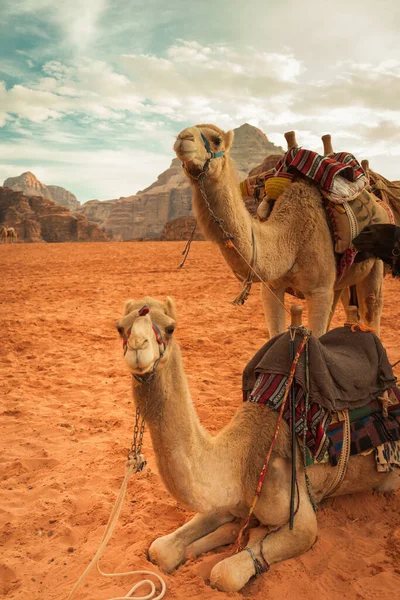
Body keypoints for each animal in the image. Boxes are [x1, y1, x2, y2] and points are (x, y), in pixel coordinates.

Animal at [115, 296, 400, 592]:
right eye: (120, 327)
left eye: (170, 328)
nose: (137, 347)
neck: (241, 460)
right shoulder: (227, 499)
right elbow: (160, 549)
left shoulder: (300, 520)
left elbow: (225, 573)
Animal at [173, 125, 392, 338]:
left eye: (217, 140)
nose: (183, 138)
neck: (291, 236)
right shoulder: (272, 288)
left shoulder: (319, 291)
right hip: (342, 278)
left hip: (375, 265)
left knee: (372, 306)